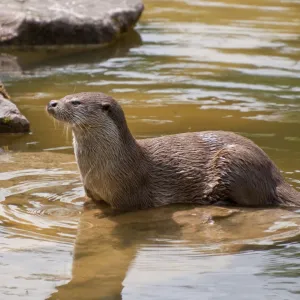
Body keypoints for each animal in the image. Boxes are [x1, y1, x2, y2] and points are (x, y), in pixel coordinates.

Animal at [47, 92, 300, 211]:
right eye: (62, 97)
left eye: (75, 102)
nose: (51, 103)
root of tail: (275, 174)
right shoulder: (90, 191)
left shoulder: (128, 196)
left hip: (235, 159)